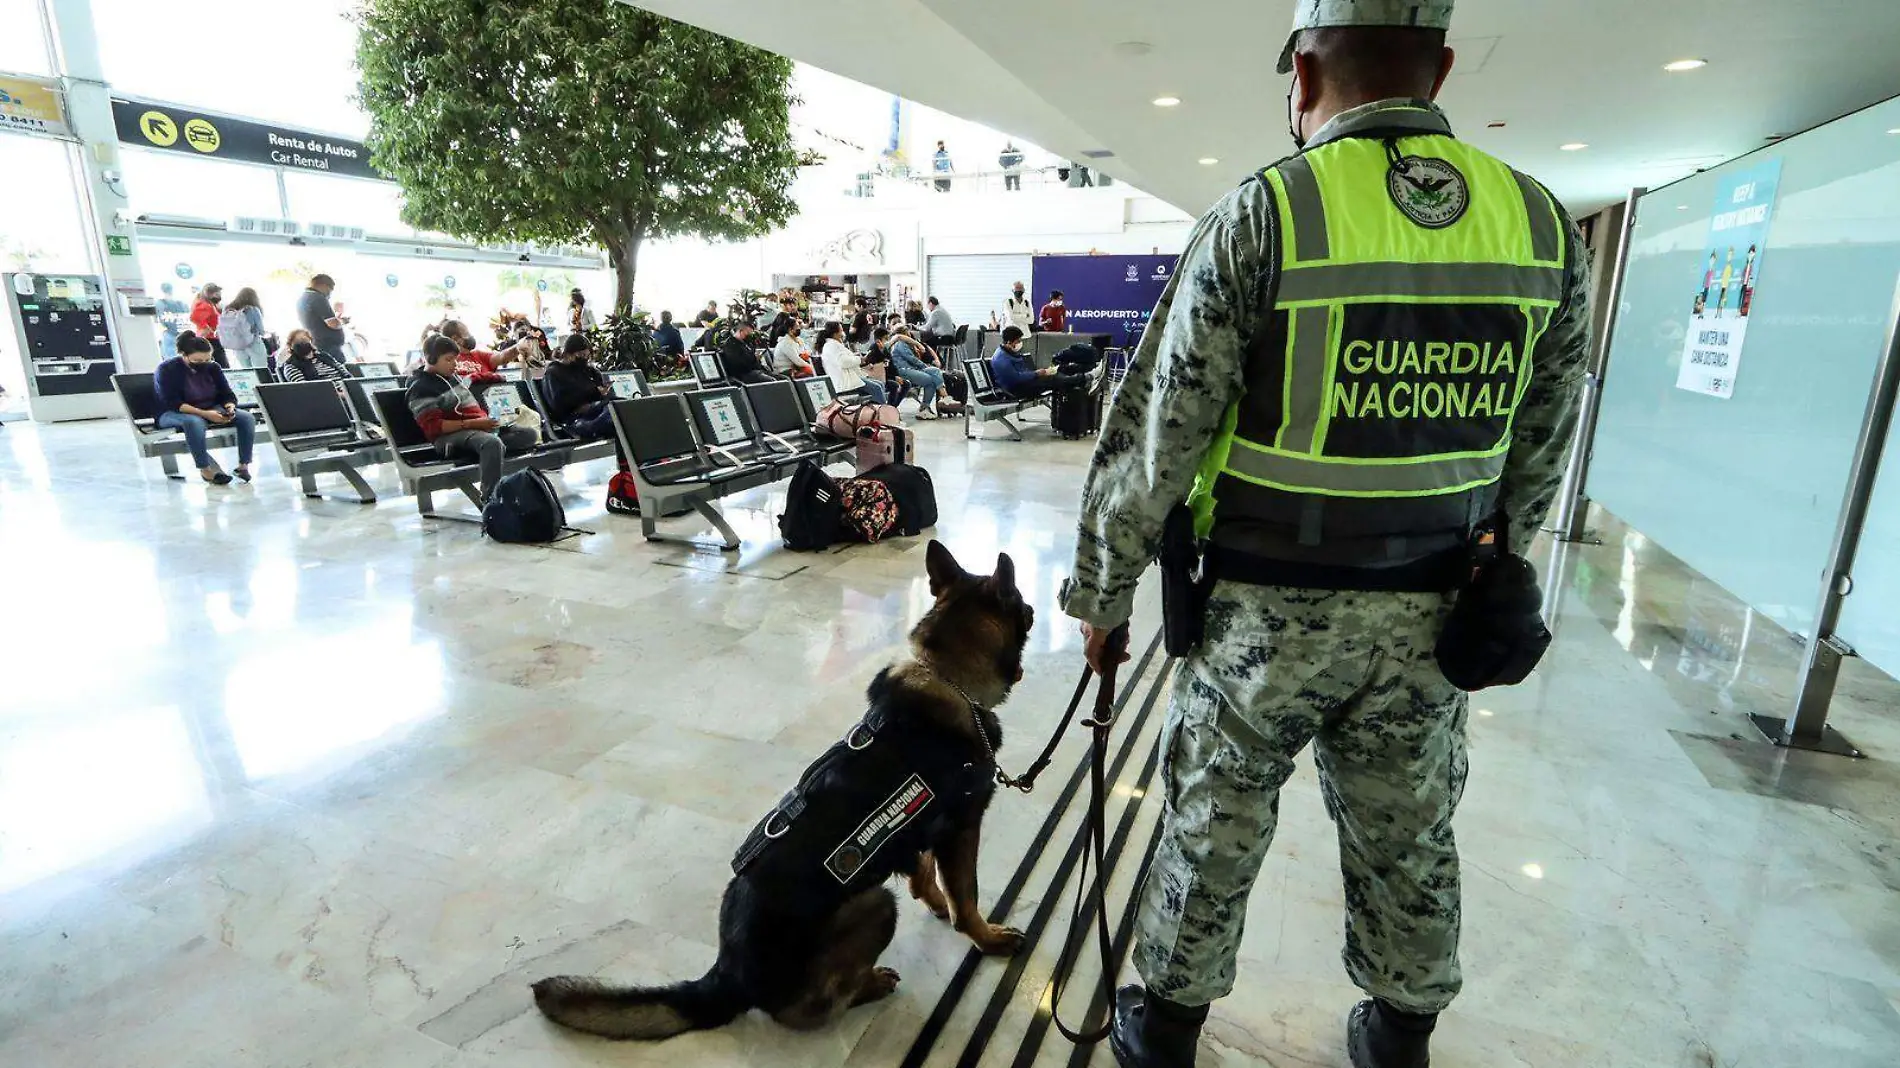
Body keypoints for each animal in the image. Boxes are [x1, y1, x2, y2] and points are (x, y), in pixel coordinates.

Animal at [535, 539, 1033, 1033]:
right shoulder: (963, 828)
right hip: (873, 906)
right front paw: (985, 937)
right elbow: (966, 898)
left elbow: (923, 870)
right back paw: (866, 986)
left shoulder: (927, 828)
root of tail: (726, 975)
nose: (1032, 607)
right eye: (1025, 607)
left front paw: (934, 901)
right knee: (804, 1011)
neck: (947, 676)